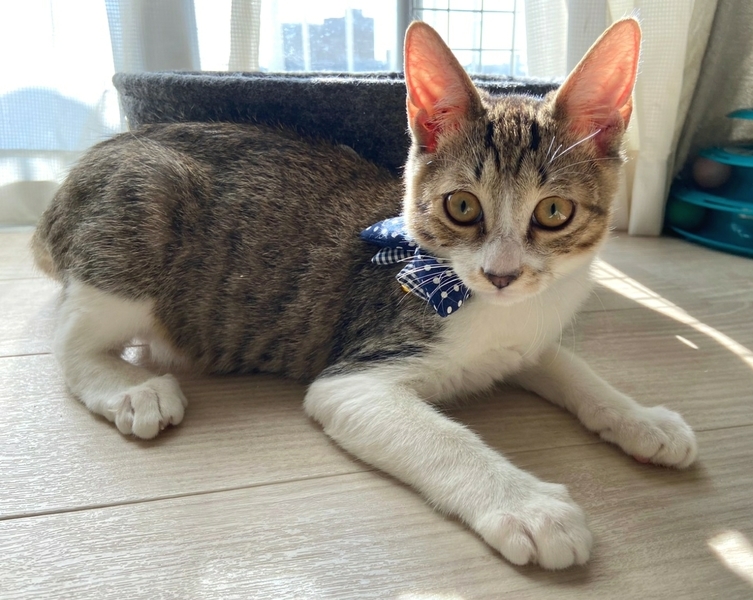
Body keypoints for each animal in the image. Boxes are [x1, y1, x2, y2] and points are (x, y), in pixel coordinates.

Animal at [32, 18, 697, 569]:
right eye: (462, 206)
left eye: (554, 212)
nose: (502, 275)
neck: (491, 306)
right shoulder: (356, 375)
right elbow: (441, 437)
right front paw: (531, 508)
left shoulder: (525, 336)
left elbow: (571, 368)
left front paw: (642, 419)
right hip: (144, 211)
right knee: (67, 337)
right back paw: (131, 389)